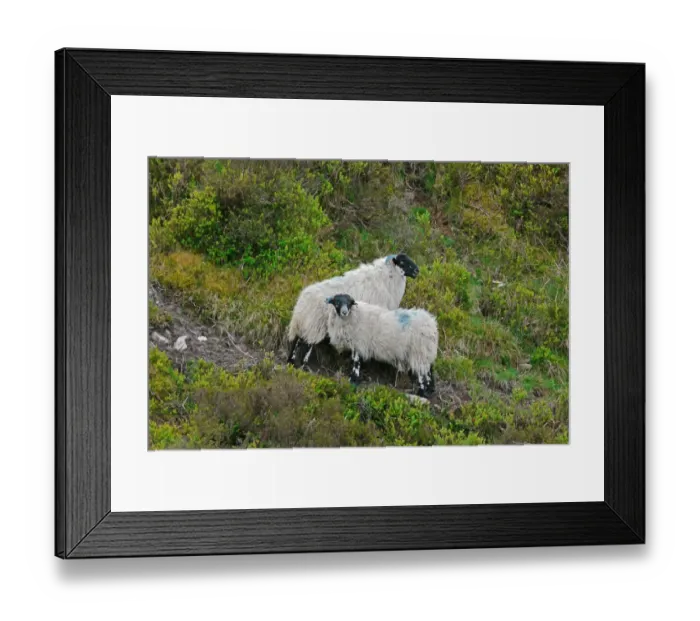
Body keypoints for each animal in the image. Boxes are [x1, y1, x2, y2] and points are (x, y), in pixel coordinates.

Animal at [287, 253, 419, 366]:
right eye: (402, 262)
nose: (417, 270)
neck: (386, 278)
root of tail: (301, 302)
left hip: (305, 325)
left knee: (298, 341)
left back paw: (292, 363)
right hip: (314, 325)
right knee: (307, 344)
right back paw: (302, 365)